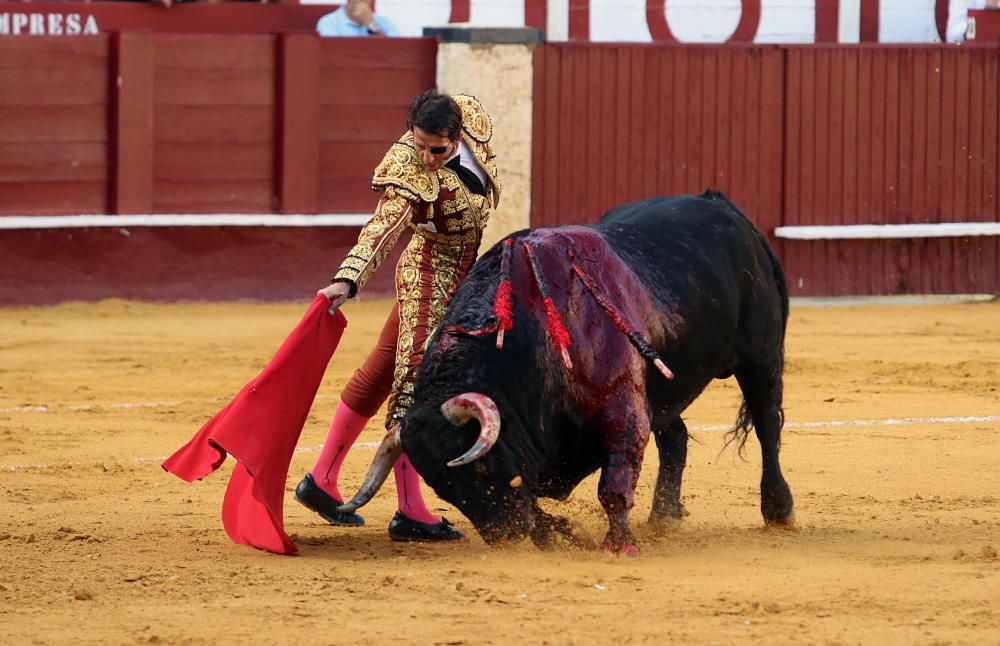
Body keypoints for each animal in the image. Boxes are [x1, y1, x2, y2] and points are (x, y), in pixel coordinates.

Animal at [344, 192, 796, 556]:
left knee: (766, 424)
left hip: (761, 355)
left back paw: (779, 509)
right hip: (663, 384)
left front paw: (618, 547)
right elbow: (534, 498)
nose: (506, 536)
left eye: (479, 468)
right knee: (676, 436)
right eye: (443, 489)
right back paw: (664, 517)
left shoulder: (623, 408)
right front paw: (565, 533)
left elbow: (612, 488)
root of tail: (723, 206)